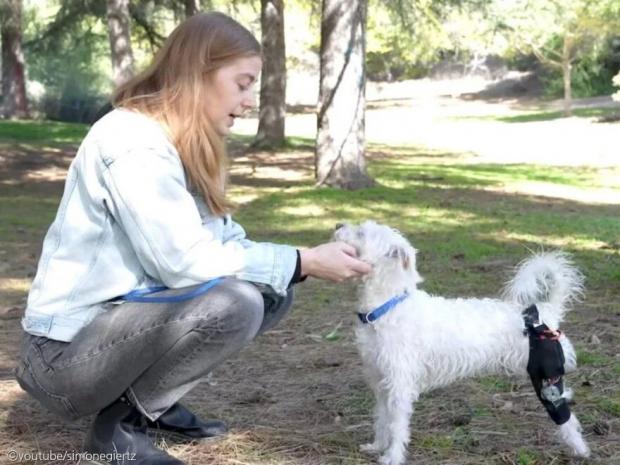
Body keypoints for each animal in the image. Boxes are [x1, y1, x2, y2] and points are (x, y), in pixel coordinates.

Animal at [334, 220, 592, 464]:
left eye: (362, 233)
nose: (337, 225)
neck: (387, 307)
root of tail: (546, 312)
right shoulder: (380, 383)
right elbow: (381, 419)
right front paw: (377, 446)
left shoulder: (400, 386)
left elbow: (397, 425)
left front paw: (393, 457)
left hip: (547, 381)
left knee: (566, 417)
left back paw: (581, 449)